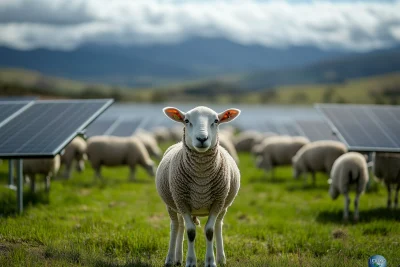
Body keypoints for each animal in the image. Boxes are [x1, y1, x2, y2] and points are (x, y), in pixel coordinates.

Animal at [156, 107, 241, 267]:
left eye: (216, 121)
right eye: (186, 120)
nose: (202, 139)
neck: (201, 181)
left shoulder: (218, 202)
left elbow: (209, 231)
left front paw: (211, 261)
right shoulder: (181, 200)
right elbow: (190, 232)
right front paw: (190, 261)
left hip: (223, 205)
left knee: (217, 225)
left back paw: (220, 258)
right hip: (172, 204)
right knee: (176, 226)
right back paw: (171, 259)